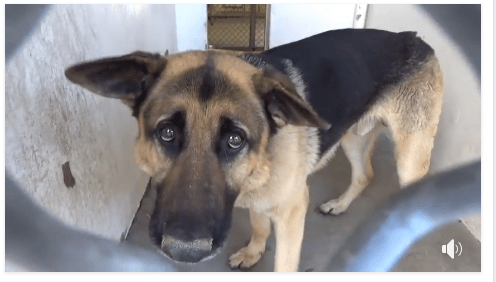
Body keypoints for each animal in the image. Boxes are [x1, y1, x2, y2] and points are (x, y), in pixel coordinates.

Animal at [64, 28, 444, 270]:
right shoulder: (258, 201)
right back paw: (340, 204)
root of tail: (413, 38)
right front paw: (253, 252)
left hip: (409, 159)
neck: (263, 161)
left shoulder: (292, 211)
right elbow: (260, 225)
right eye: (167, 133)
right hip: (351, 136)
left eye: (235, 139)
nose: (184, 252)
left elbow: (284, 263)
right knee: (366, 174)